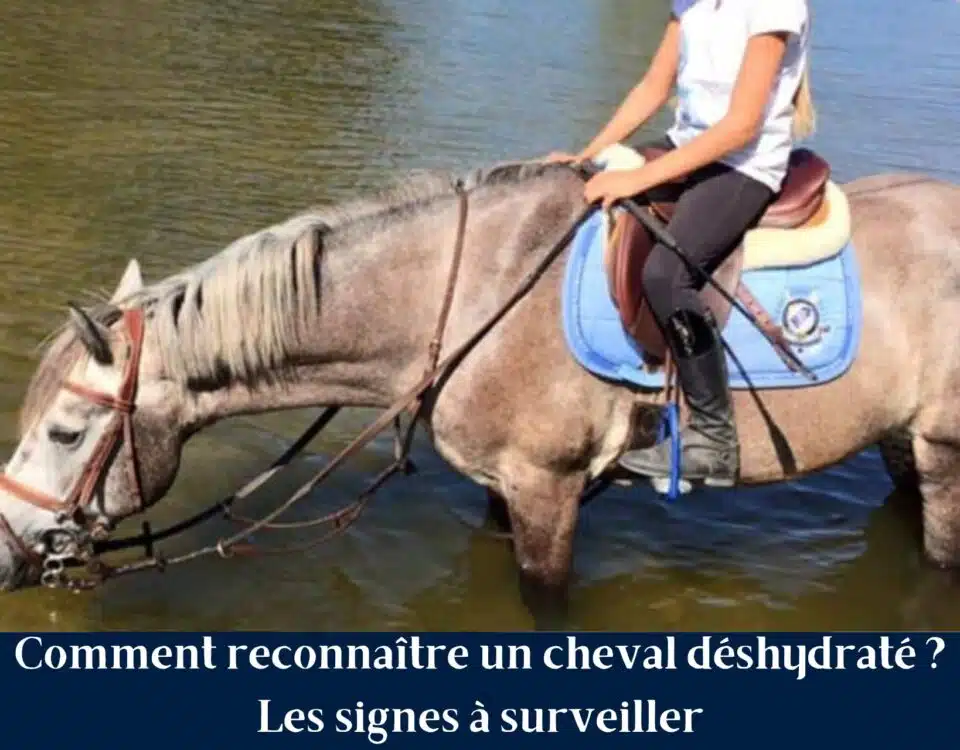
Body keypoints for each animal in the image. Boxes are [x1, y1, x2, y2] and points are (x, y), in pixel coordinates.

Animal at [0, 154, 955, 625]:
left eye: (66, 432)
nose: (9, 552)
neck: (462, 297)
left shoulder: (547, 490)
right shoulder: (506, 492)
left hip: (944, 452)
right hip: (898, 441)